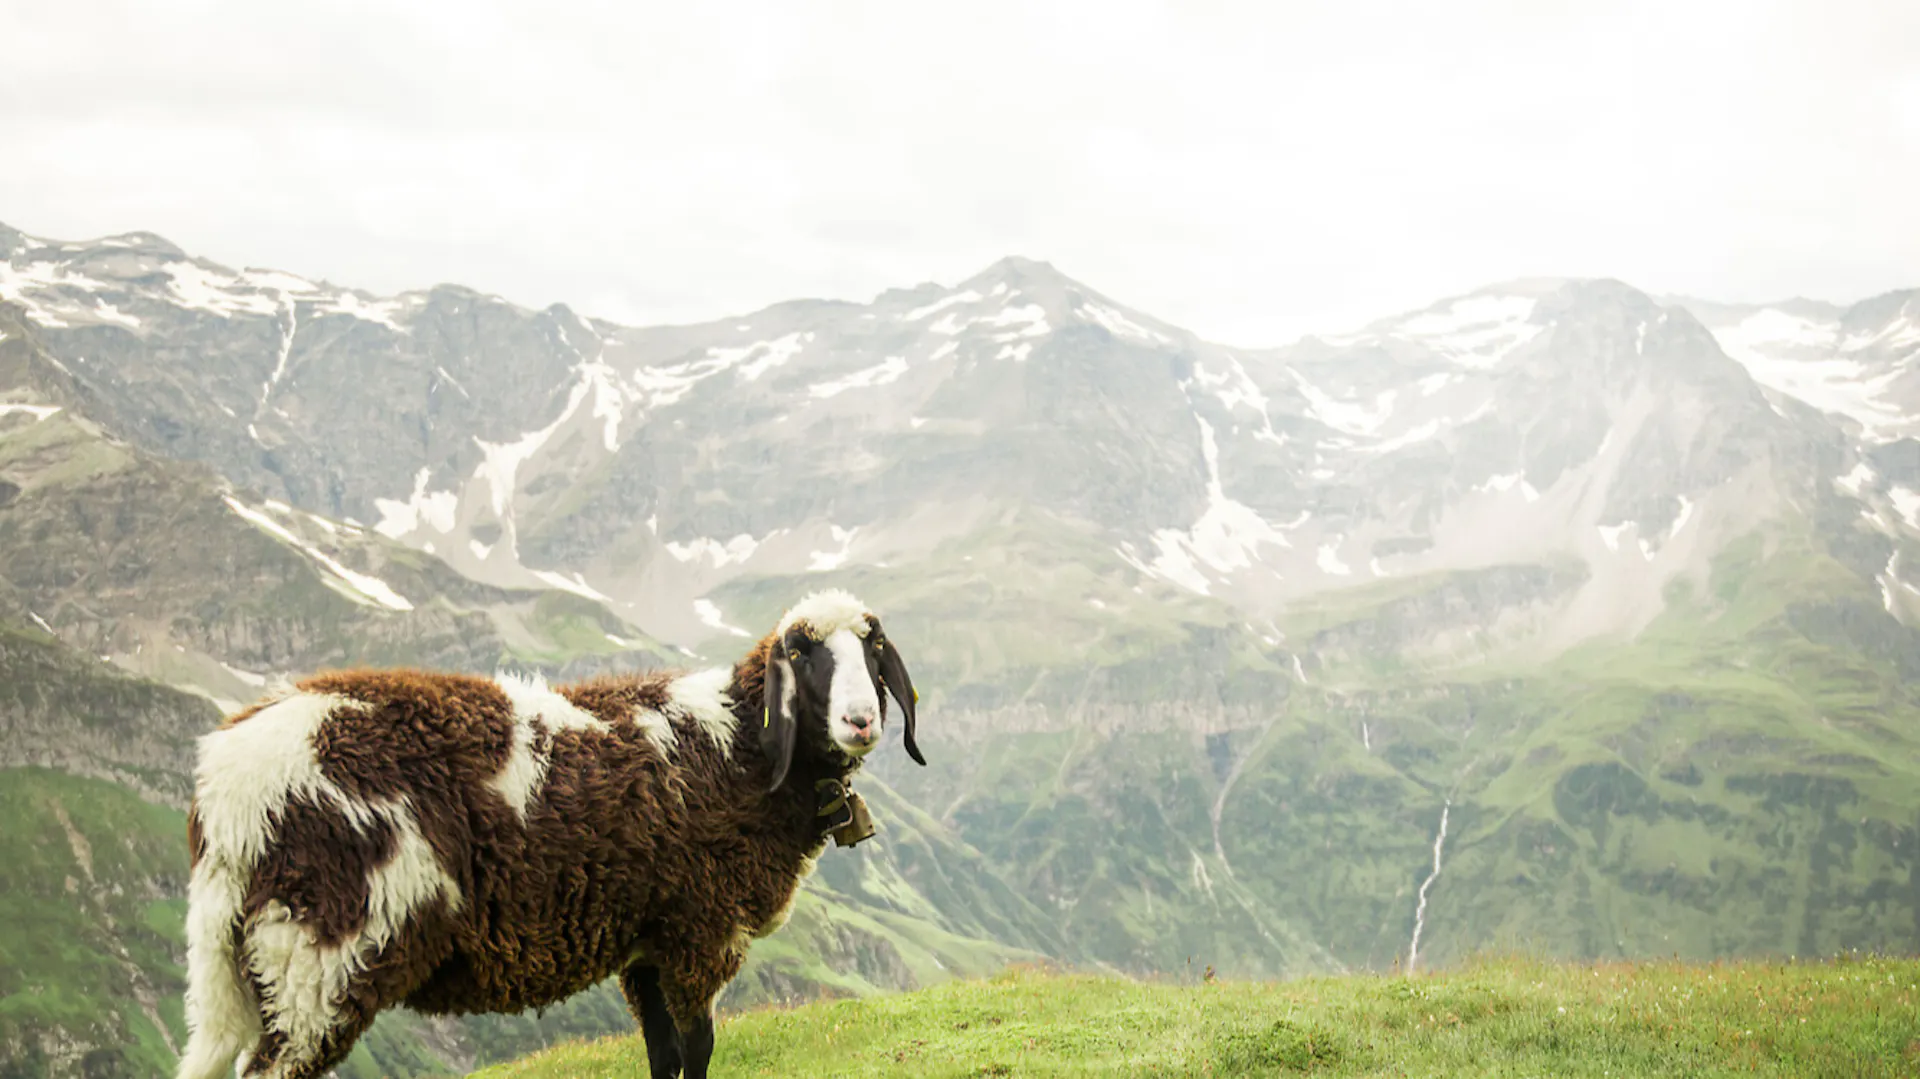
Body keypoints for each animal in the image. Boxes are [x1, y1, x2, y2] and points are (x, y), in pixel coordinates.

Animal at [174, 587, 923, 1079]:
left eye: (874, 648)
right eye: (801, 652)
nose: (860, 720)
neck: (740, 748)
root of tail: (223, 789)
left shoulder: (647, 943)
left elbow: (664, 1053)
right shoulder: (699, 931)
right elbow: (698, 1047)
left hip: (254, 960)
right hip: (320, 949)